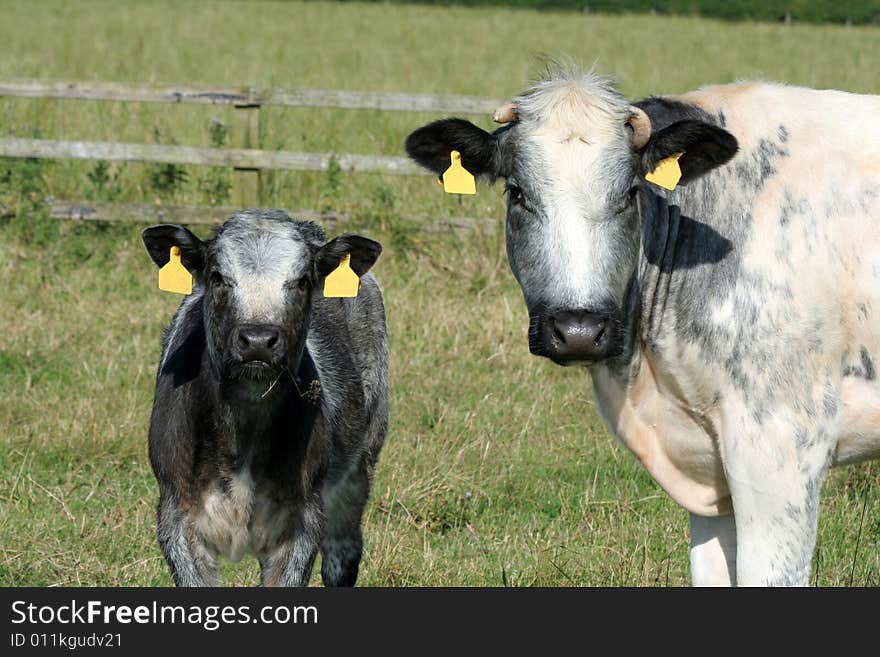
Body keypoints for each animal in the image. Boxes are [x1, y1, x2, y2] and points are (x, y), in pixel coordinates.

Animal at [142, 210, 388, 584]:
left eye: (303, 281)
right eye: (217, 277)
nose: (257, 340)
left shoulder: (303, 521)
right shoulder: (177, 518)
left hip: (361, 463)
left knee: (343, 554)